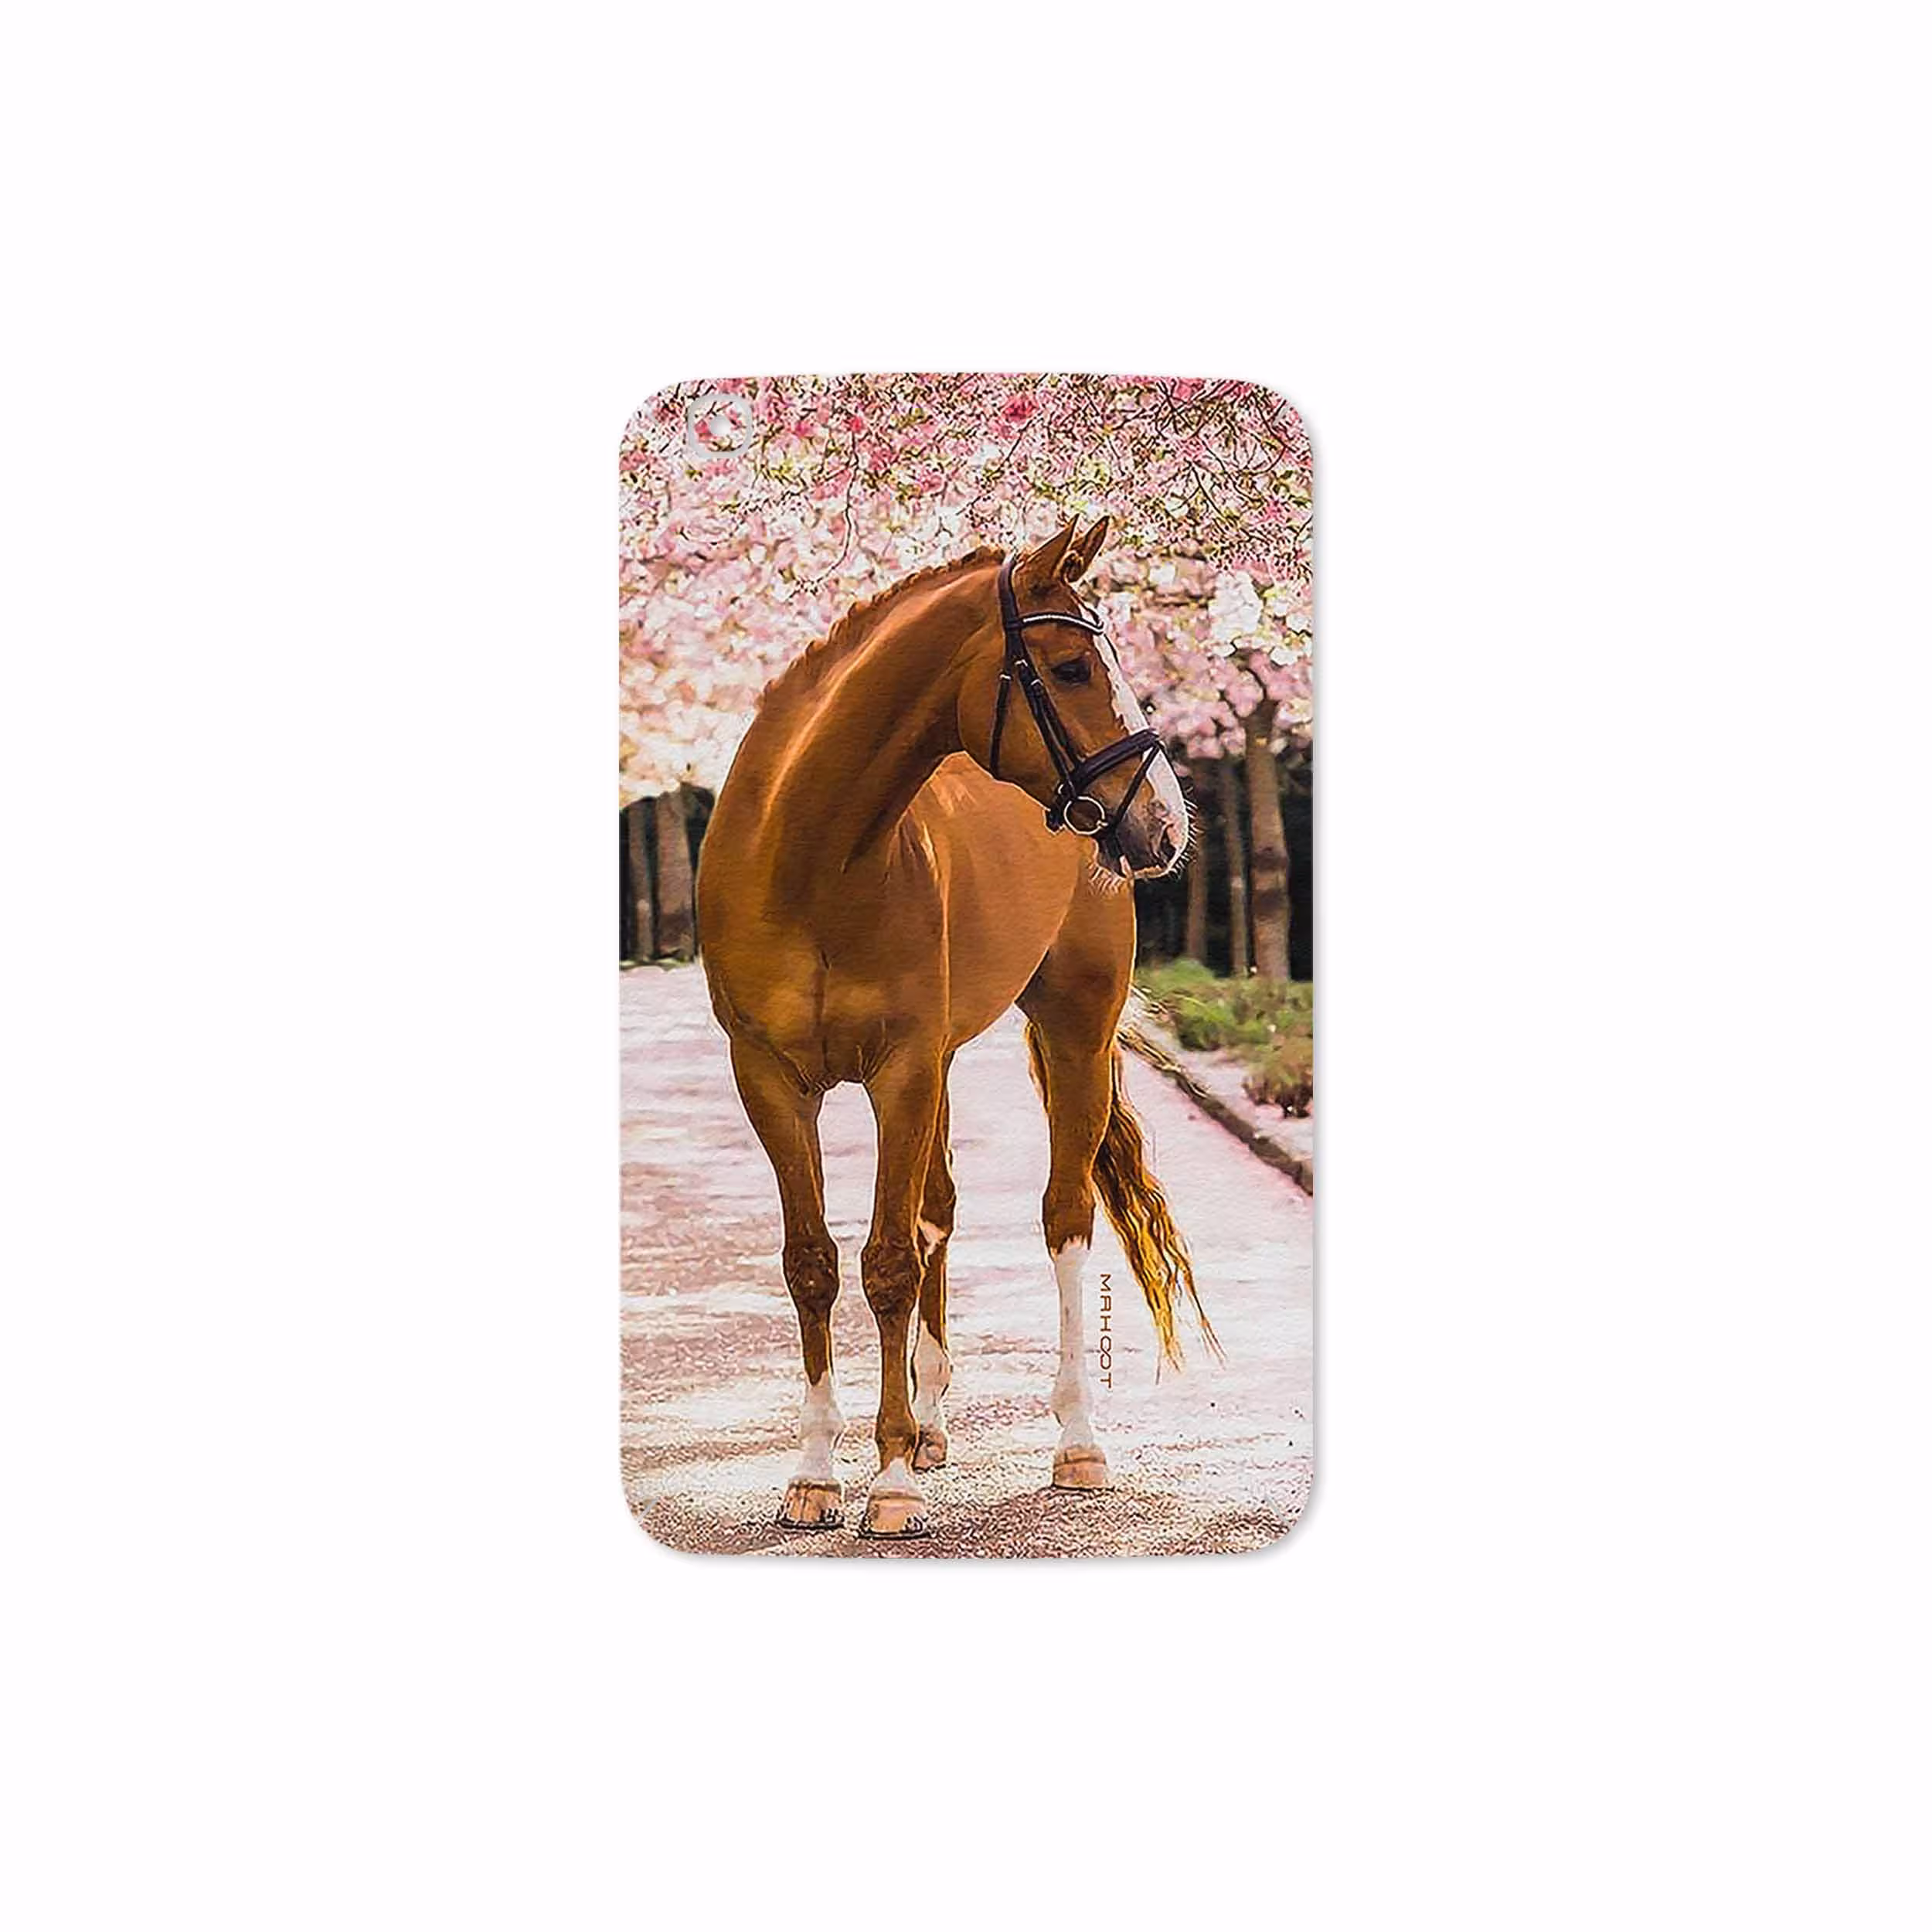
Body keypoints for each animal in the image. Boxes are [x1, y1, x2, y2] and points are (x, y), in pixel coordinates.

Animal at [696, 516, 1216, 1538]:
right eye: (1069, 667)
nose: (1165, 826)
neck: (809, 856)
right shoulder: (770, 1079)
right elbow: (813, 1262)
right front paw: (817, 1473)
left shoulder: (899, 1069)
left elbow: (889, 1261)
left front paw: (890, 1480)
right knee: (937, 1208)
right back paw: (932, 1424)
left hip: (1072, 1031)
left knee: (1063, 1217)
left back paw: (1073, 1442)